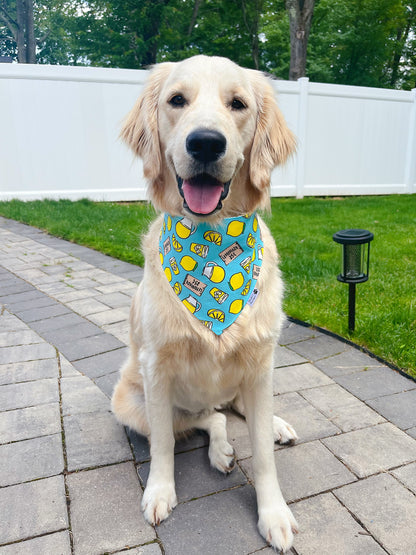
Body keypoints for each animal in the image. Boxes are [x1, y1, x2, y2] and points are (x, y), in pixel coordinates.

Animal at [110, 55, 300, 552]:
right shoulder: (158, 370)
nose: (207, 143)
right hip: (131, 401)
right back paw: (221, 450)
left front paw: (274, 513)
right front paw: (159, 492)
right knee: (206, 419)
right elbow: (162, 444)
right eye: (177, 100)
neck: (213, 243)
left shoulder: (260, 364)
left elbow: (264, 455)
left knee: (233, 412)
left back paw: (275, 425)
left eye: (238, 104)